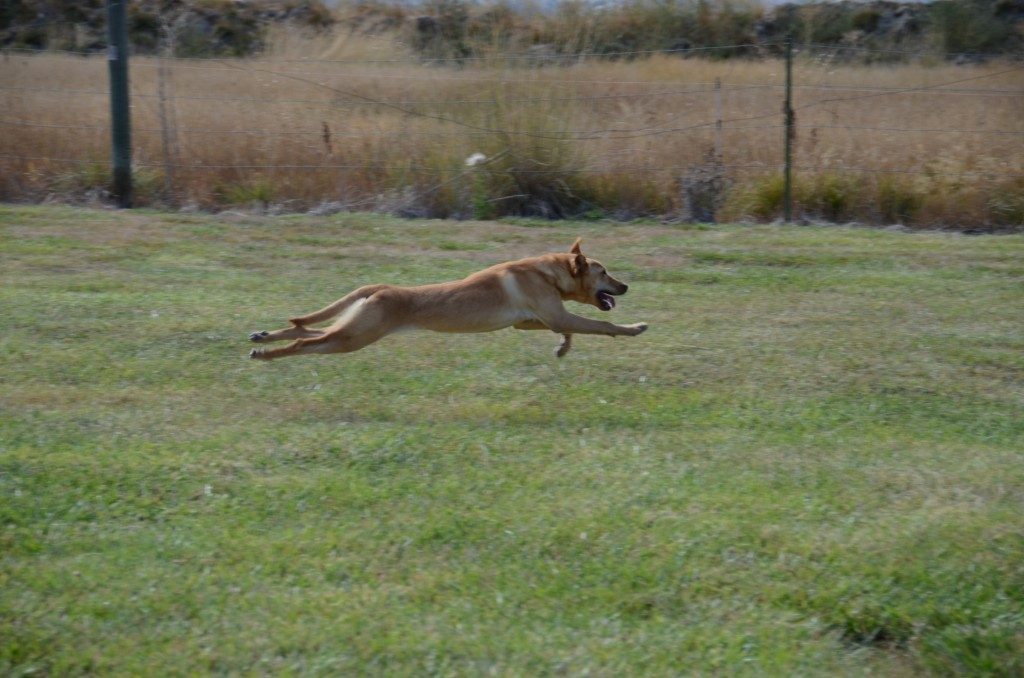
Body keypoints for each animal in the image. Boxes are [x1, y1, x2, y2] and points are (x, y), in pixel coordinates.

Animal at [248, 241, 647, 364]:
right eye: (604, 272)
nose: (626, 285)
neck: (547, 272)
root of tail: (381, 287)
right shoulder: (557, 314)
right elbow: (601, 325)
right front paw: (634, 327)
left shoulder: (531, 320)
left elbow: (565, 331)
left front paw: (562, 348)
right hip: (353, 337)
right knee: (304, 342)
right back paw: (267, 355)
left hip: (354, 327)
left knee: (304, 329)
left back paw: (263, 337)